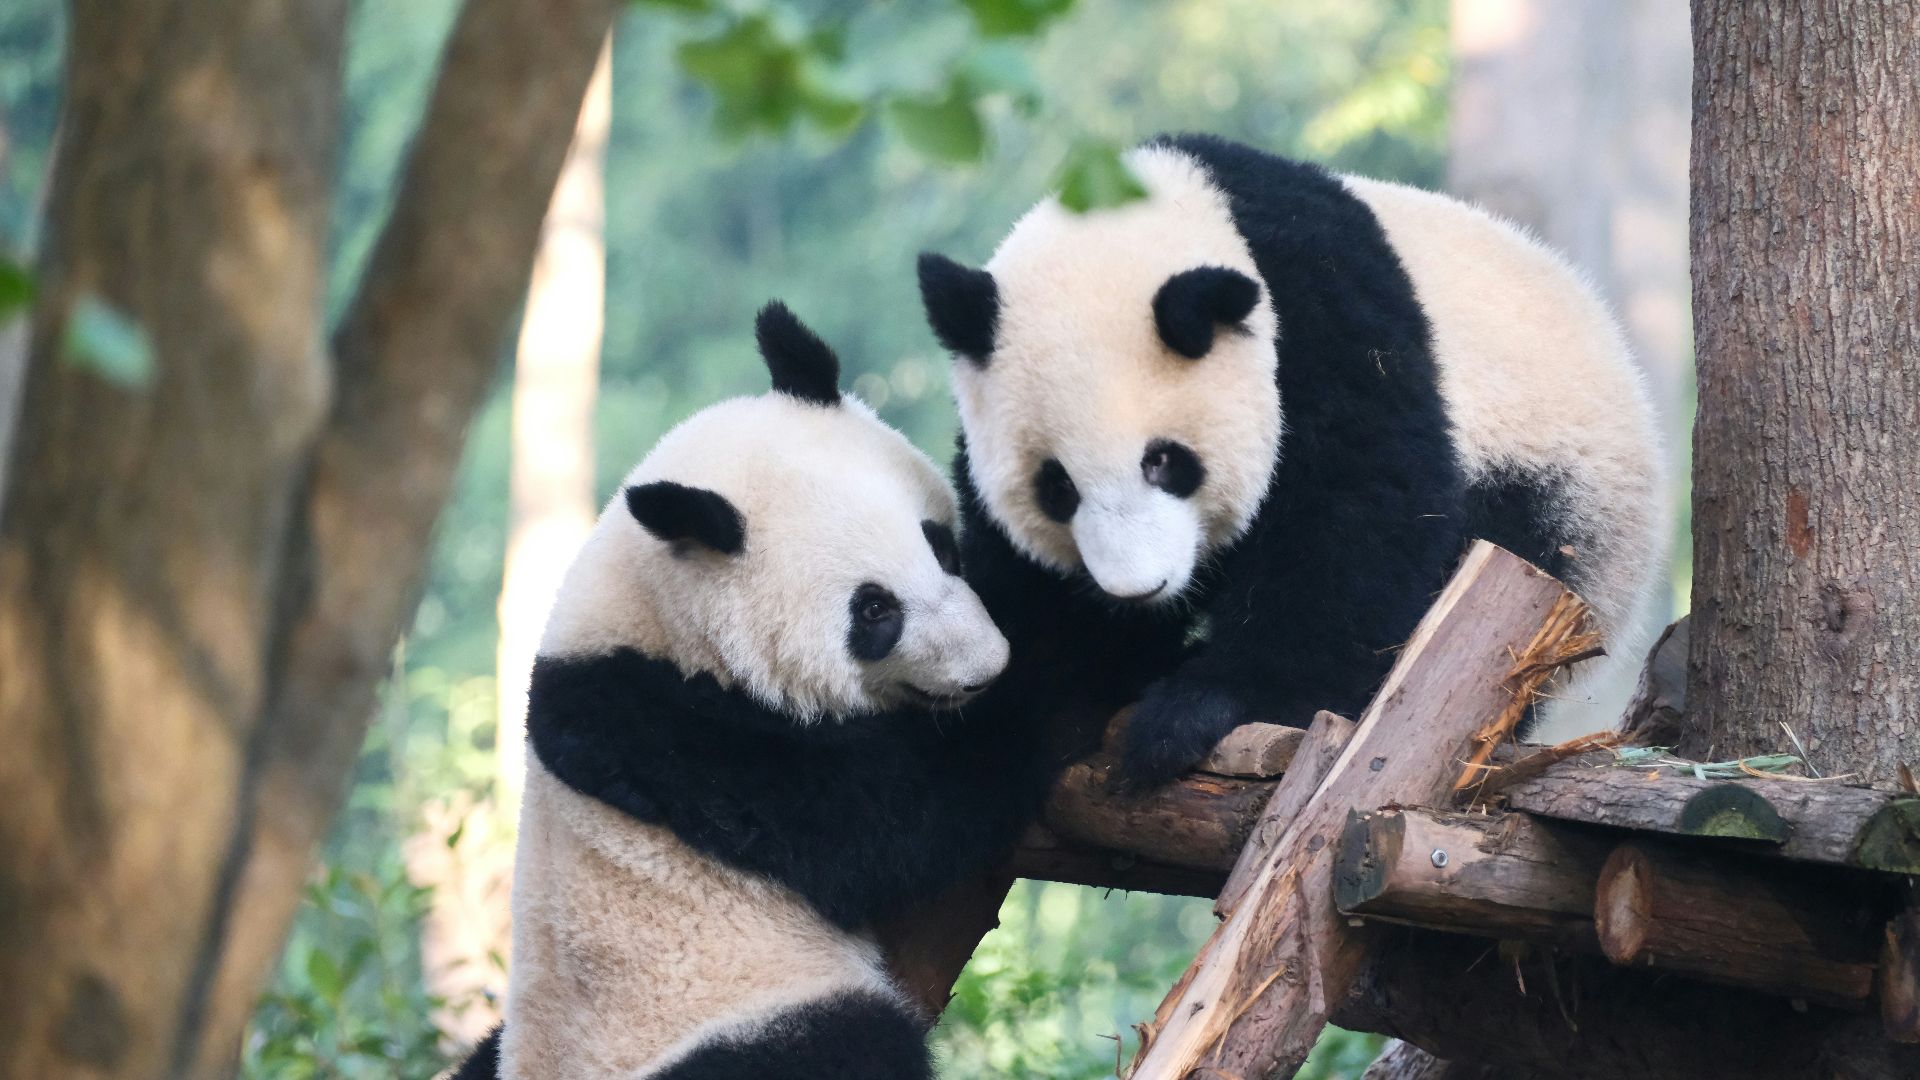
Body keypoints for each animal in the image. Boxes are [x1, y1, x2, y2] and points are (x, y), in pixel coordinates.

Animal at [454, 302, 1050, 1080]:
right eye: (874, 611)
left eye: (942, 546)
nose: (986, 664)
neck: (652, 613)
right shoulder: (668, 734)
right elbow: (914, 806)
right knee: (846, 1043)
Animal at [916, 133, 1668, 792]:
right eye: (1057, 487)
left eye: (1165, 462)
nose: (1137, 590)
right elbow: (1024, 595)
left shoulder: (1326, 319)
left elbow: (1357, 523)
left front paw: (1196, 710)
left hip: (1557, 489)